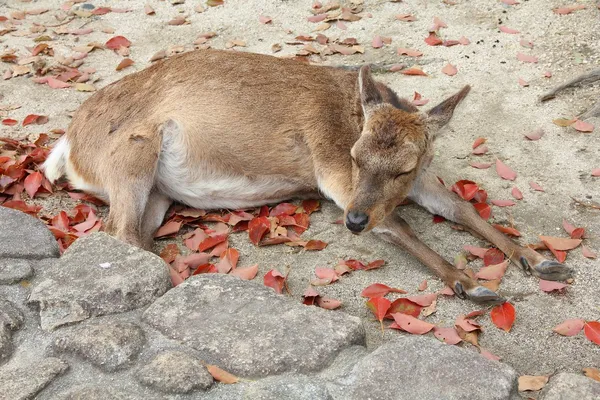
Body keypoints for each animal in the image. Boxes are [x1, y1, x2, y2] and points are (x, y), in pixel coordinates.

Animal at [43, 49, 572, 304]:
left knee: (132, 236)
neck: (351, 120)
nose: (353, 223)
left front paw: (540, 259)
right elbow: (395, 223)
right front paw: (471, 283)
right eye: (356, 157)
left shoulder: (417, 181)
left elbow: (460, 206)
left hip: (157, 192)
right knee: (116, 232)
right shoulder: (334, 173)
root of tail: (67, 147)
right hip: (131, 154)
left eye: (404, 166)